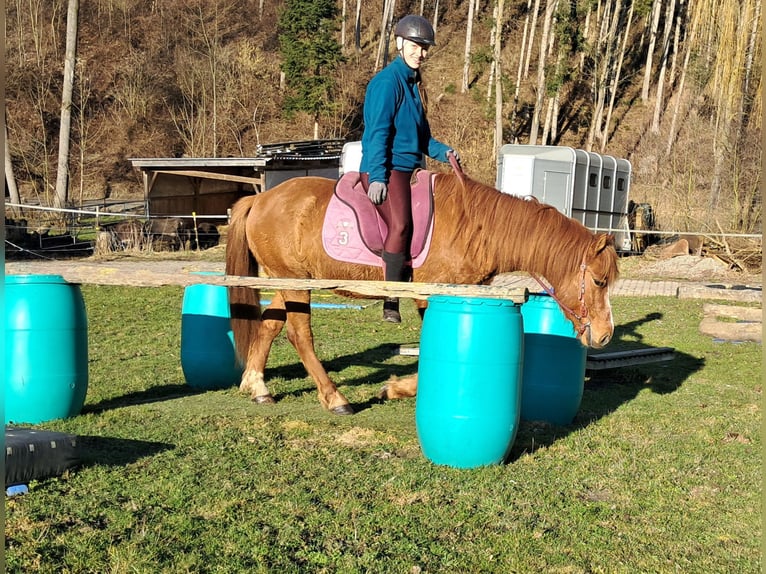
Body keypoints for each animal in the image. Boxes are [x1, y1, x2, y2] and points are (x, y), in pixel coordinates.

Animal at [226, 170, 619, 415]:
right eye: (599, 282)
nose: (604, 335)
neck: (475, 227)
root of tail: (261, 199)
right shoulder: (428, 295)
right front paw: (395, 388)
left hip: (289, 280)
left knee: (270, 325)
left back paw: (257, 386)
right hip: (294, 282)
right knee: (299, 335)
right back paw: (335, 398)